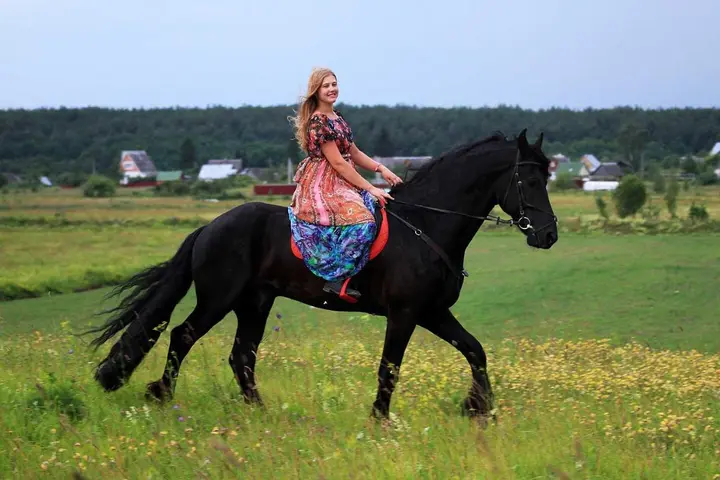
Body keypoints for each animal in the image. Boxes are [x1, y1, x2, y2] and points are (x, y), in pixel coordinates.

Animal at [83, 128, 558, 422]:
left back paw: (260, 411)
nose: (549, 235)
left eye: (548, 178)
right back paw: (162, 395)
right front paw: (380, 420)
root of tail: (210, 227)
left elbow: (475, 350)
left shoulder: (433, 312)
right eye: (531, 181)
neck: (426, 226)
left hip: (255, 303)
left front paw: (479, 408)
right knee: (182, 335)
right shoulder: (405, 314)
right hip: (219, 298)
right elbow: (390, 367)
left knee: (241, 356)